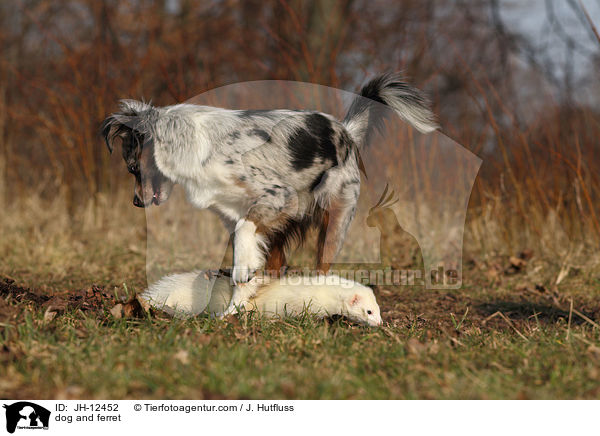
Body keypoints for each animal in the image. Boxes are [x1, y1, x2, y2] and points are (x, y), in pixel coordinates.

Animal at [98, 73, 436, 316]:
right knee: (277, 264)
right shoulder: (233, 215)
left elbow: (244, 236)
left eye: (132, 168)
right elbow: (242, 248)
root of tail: (345, 130)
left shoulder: (276, 198)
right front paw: (237, 301)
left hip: (335, 218)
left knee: (322, 265)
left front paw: (242, 277)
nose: (136, 202)